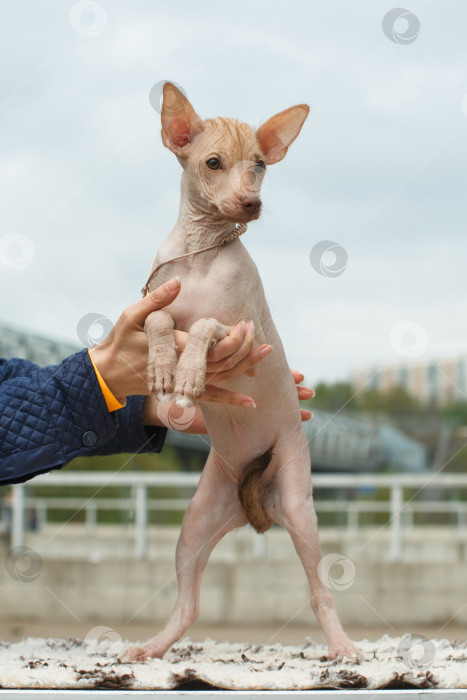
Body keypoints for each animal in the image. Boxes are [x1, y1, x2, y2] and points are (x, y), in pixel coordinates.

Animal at [122, 82, 360, 660]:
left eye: (261, 165)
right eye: (213, 163)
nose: (252, 202)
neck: (199, 254)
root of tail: (257, 510)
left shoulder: (238, 328)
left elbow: (205, 325)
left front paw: (188, 372)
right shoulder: (155, 303)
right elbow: (162, 318)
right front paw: (162, 363)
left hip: (300, 507)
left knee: (321, 595)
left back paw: (342, 645)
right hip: (195, 523)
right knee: (188, 605)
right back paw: (151, 649)